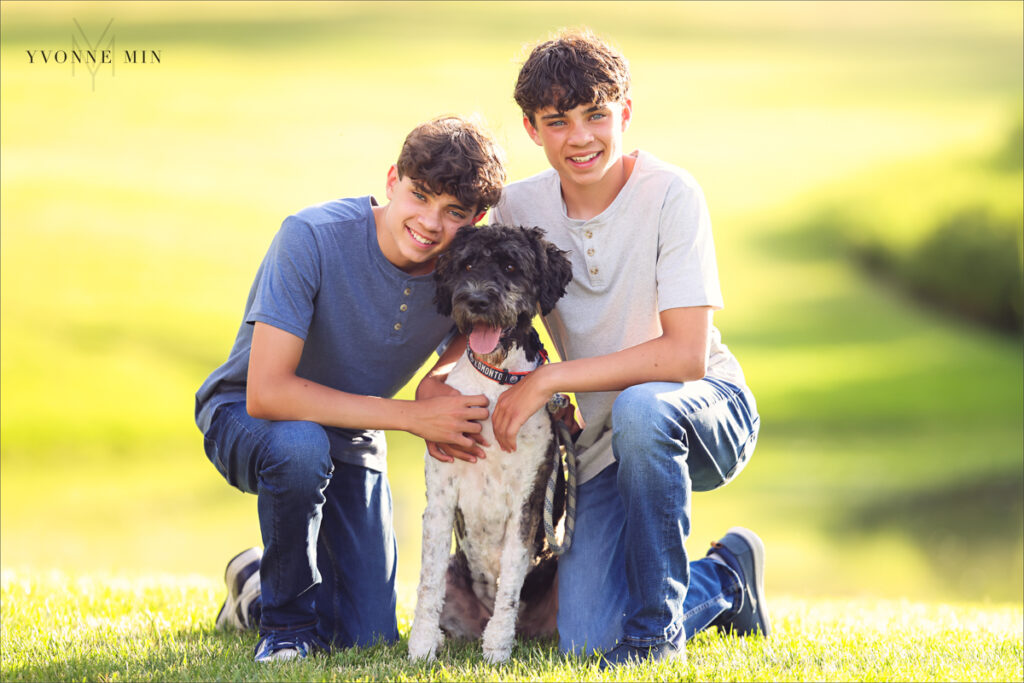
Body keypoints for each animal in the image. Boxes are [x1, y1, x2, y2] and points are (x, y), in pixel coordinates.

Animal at [403, 224, 573, 663]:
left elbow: (510, 582)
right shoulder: (441, 498)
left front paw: (497, 648)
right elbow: (427, 581)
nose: (477, 300)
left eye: (512, 266)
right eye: (466, 266)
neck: (497, 380)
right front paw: (421, 646)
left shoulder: (527, 503)